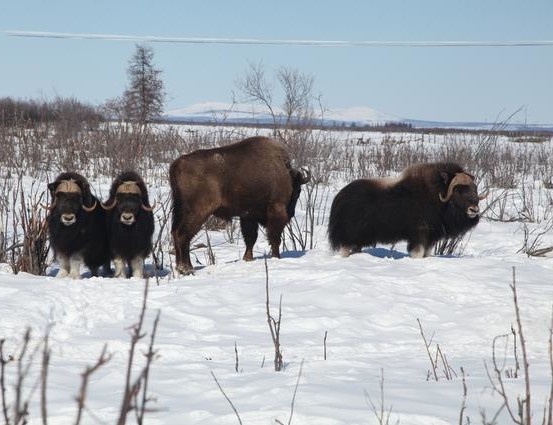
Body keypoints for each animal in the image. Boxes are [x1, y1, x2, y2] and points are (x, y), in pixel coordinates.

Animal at [168, 137, 310, 274]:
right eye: (298, 190)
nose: (291, 213)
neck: (284, 172)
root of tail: (178, 164)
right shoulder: (276, 212)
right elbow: (274, 238)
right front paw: (276, 257)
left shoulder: (248, 216)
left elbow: (250, 238)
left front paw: (248, 258)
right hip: (197, 212)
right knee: (183, 234)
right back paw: (187, 269)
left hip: (180, 210)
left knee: (175, 232)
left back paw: (180, 268)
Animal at [330, 161, 486, 255]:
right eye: (458, 190)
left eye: (475, 189)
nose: (474, 210)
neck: (436, 196)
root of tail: (340, 196)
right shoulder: (419, 234)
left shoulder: (430, 237)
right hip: (348, 237)